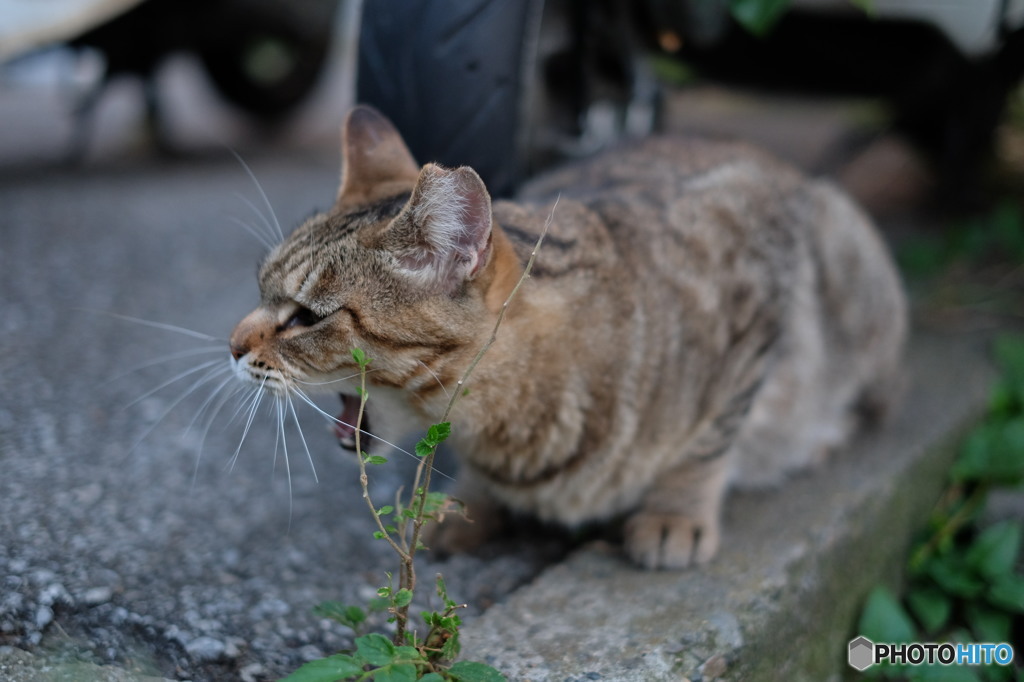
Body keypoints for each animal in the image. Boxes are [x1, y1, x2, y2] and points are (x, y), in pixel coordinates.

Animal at [230, 103, 905, 565]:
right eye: (260, 287)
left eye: (307, 316)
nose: (232, 346)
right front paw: (464, 505)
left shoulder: (752, 311)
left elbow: (710, 439)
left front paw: (676, 511)